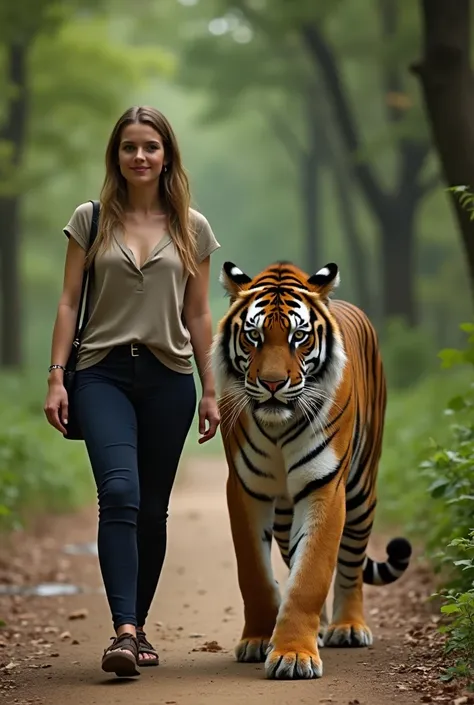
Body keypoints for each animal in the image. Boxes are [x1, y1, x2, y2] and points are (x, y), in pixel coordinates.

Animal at [211, 262, 412, 680]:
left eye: (298, 336)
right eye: (253, 336)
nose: (272, 383)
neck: (278, 427)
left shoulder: (325, 486)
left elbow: (312, 573)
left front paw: (293, 654)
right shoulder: (245, 489)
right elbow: (255, 573)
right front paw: (259, 639)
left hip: (361, 492)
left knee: (350, 564)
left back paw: (347, 627)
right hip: (286, 514)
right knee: (292, 553)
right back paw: (316, 628)